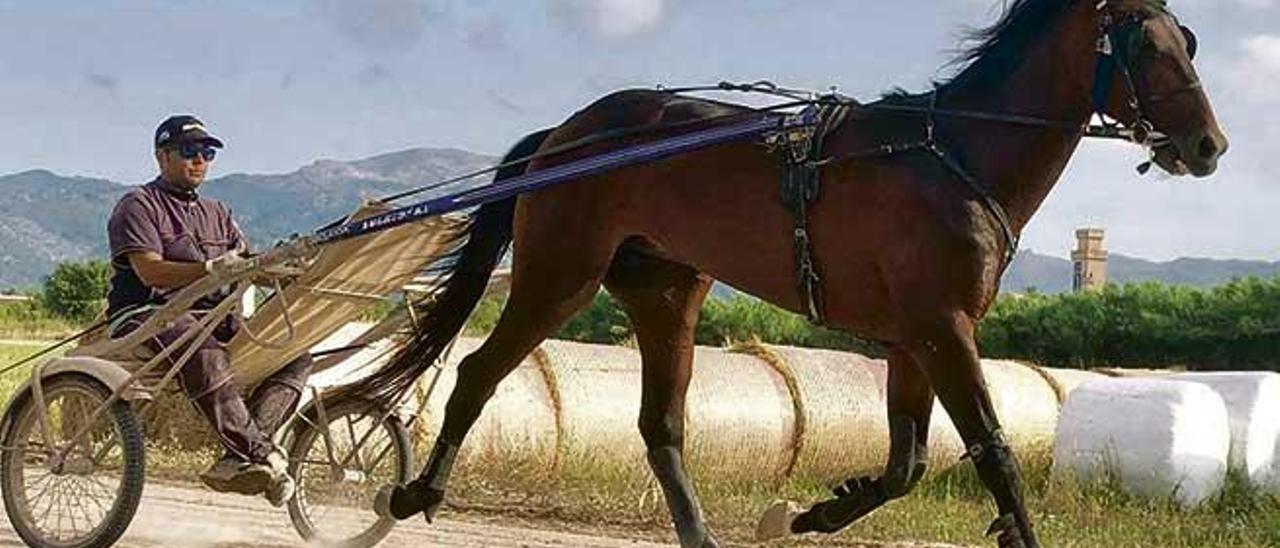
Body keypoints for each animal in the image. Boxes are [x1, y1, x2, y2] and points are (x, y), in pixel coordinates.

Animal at [355, 1, 1223, 548]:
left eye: (1189, 38)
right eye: (1147, 44)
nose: (1209, 145)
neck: (952, 155)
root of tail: (569, 135)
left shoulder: (915, 338)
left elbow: (908, 464)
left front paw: (811, 513)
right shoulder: (942, 329)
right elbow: (994, 454)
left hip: (667, 292)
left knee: (661, 426)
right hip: (559, 274)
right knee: (478, 373)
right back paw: (414, 492)